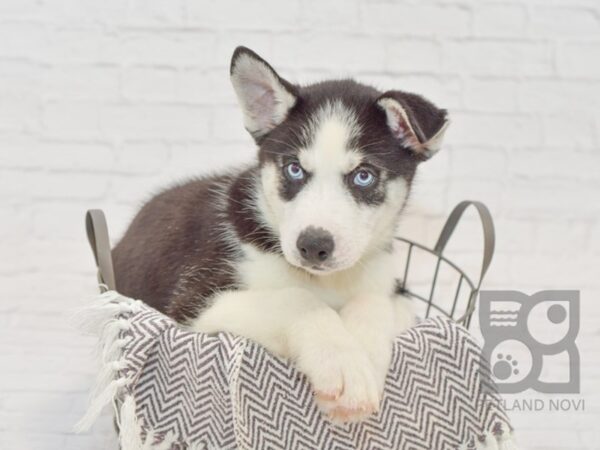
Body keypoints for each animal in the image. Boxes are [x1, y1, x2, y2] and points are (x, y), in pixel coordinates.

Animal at [113, 45, 450, 422]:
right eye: (294, 169)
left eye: (363, 176)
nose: (313, 246)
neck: (327, 282)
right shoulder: (194, 300)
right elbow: (296, 299)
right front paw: (342, 361)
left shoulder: (395, 291)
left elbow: (374, 300)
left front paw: (361, 350)